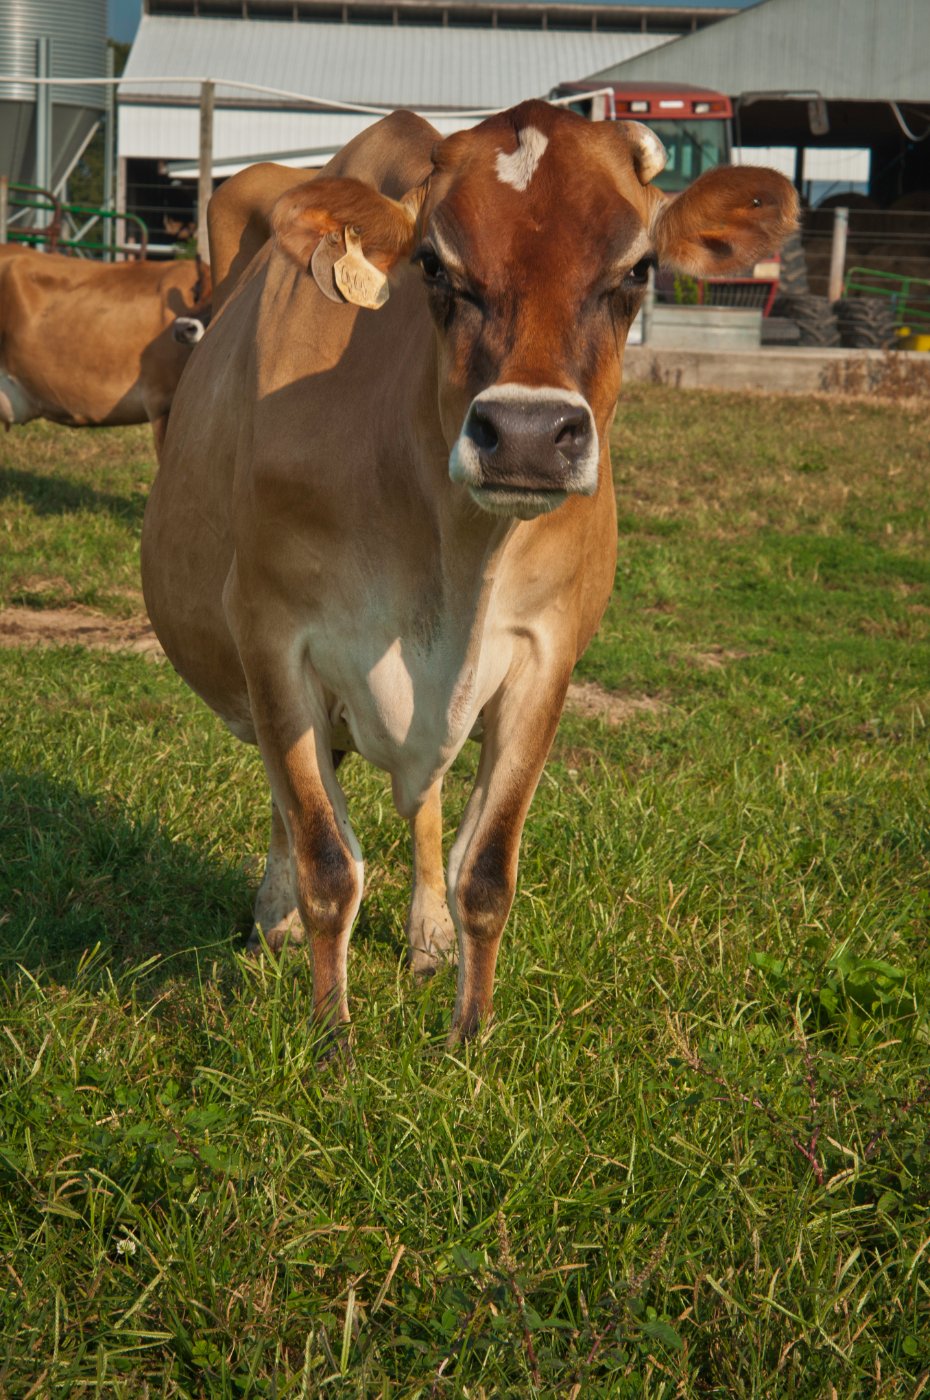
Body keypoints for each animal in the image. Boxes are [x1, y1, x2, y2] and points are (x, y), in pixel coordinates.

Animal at [141, 101, 796, 1047]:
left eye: (637, 269)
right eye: (432, 265)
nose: (525, 434)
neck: (451, 554)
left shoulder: (544, 655)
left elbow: (484, 868)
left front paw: (469, 1037)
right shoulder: (272, 634)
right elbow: (326, 859)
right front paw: (332, 1041)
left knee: (424, 802)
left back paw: (427, 938)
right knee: (290, 799)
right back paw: (275, 918)